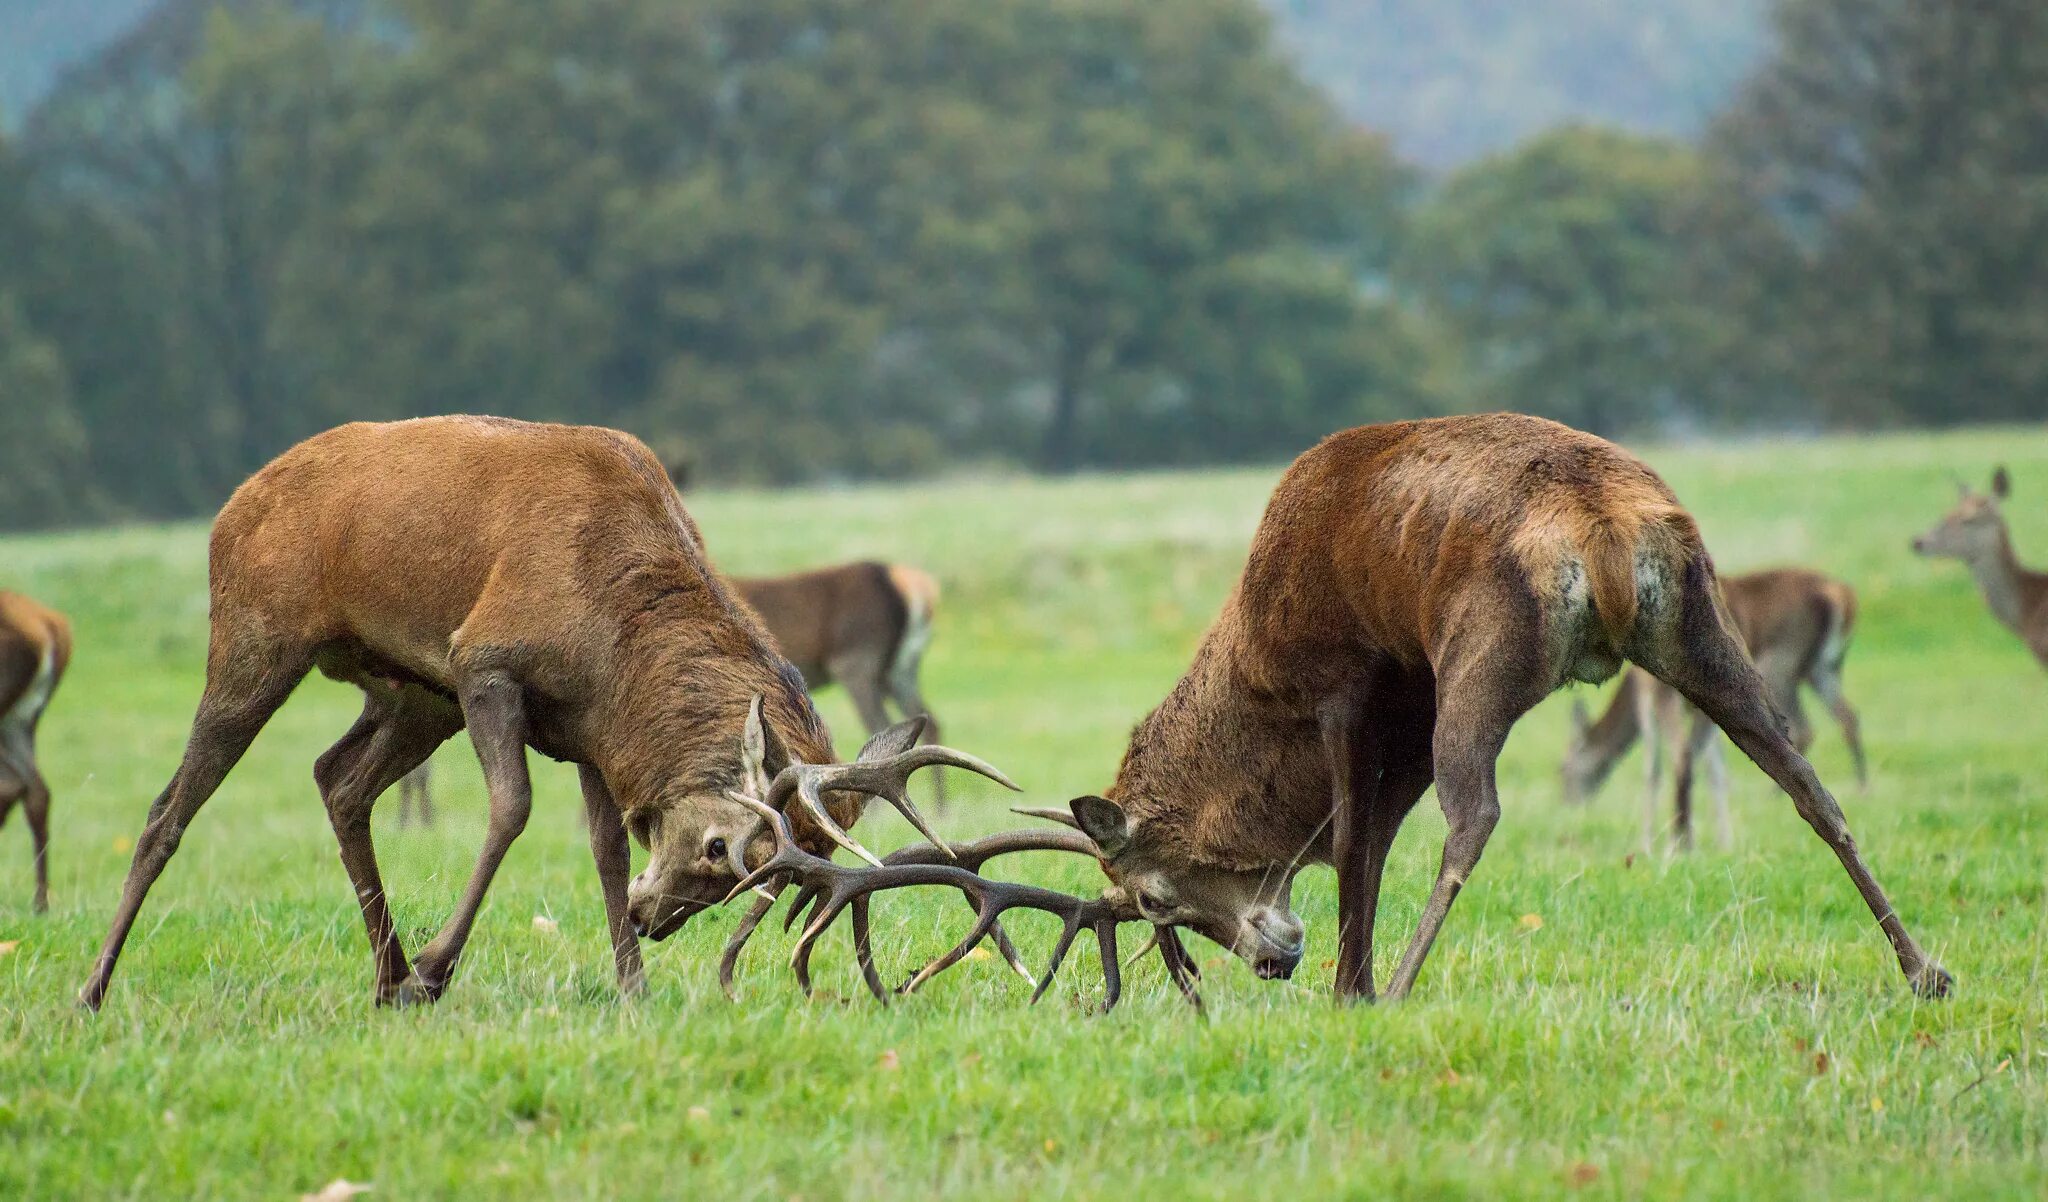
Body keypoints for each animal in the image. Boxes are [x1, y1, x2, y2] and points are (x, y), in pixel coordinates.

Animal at [81, 417, 999, 1011]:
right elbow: (511, 807)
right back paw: (92, 989)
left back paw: (381, 976)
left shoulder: (592, 733)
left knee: (337, 780)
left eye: (761, 887)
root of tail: (229, 507)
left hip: (412, 694)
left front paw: (632, 987)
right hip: (259, 636)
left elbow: (602, 847)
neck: (614, 646)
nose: (655, 923)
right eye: (721, 850)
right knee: (168, 809)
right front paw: (437, 968)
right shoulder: (483, 662)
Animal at [1564, 569, 1875, 851]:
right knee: (1847, 717)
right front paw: (1725, 843)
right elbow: (1716, 769)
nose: (1569, 801)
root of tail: (1843, 597)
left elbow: (1653, 768)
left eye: (1562, 769)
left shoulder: (1647, 694)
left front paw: (1647, 845)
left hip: (1780, 664)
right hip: (1821, 668)